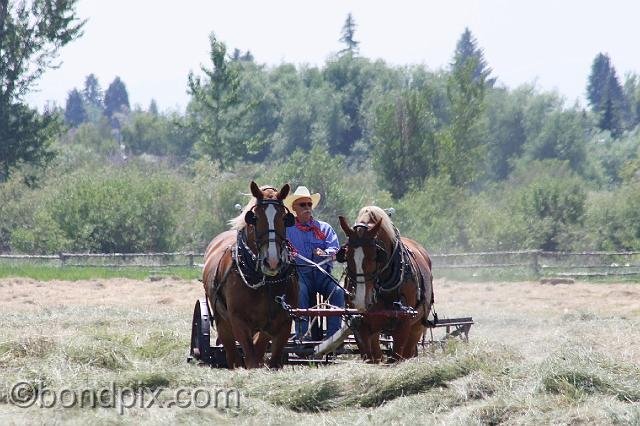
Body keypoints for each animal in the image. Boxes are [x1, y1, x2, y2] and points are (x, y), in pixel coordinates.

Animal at [202, 181, 298, 368]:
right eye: (255, 217)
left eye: (285, 218)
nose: (272, 261)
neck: (264, 282)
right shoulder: (238, 321)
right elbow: (251, 359)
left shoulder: (282, 322)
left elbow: (269, 357)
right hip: (223, 323)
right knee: (233, 357)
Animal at [338, 206, 432, 362]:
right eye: (346, 256)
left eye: (376, 255)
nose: (361, 301)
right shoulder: (360, 325)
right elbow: (371, 358)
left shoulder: (404, 324)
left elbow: (397, 357)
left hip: (417, 325)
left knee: (409, 350)